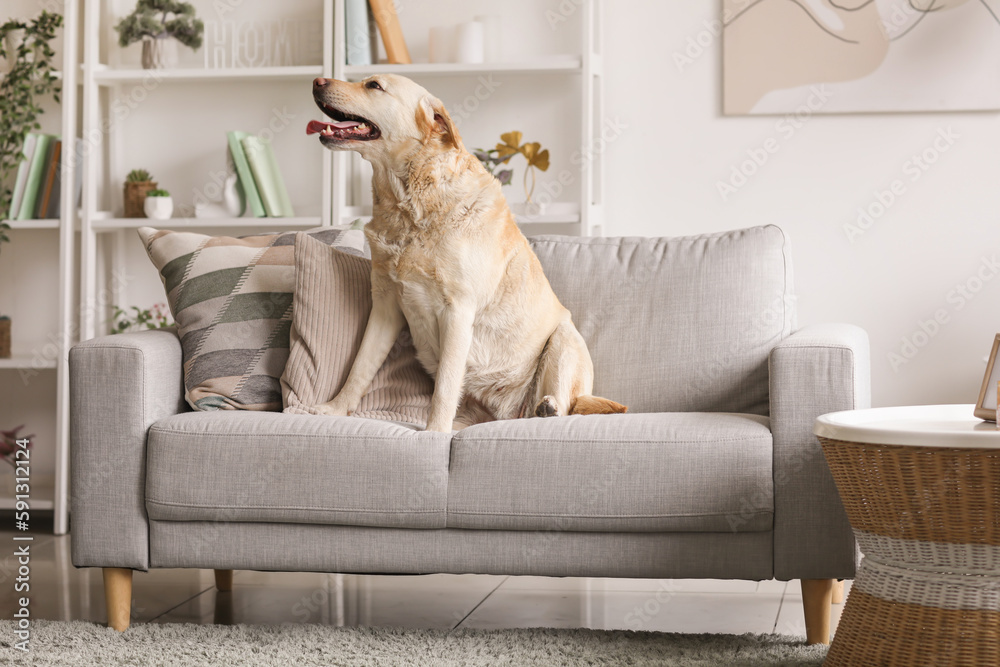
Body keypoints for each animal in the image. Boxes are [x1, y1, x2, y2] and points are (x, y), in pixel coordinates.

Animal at [308, 75, 628, 434]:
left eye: (374, 85)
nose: (317, 81)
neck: (409, 203)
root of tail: (509, 414)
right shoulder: (385, 305)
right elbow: (359, 368)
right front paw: (334, 408)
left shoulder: (458, 310)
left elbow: (445, 386)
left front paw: (434, 432)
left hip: (565, 337)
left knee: (568, 403)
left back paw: (549, 408)